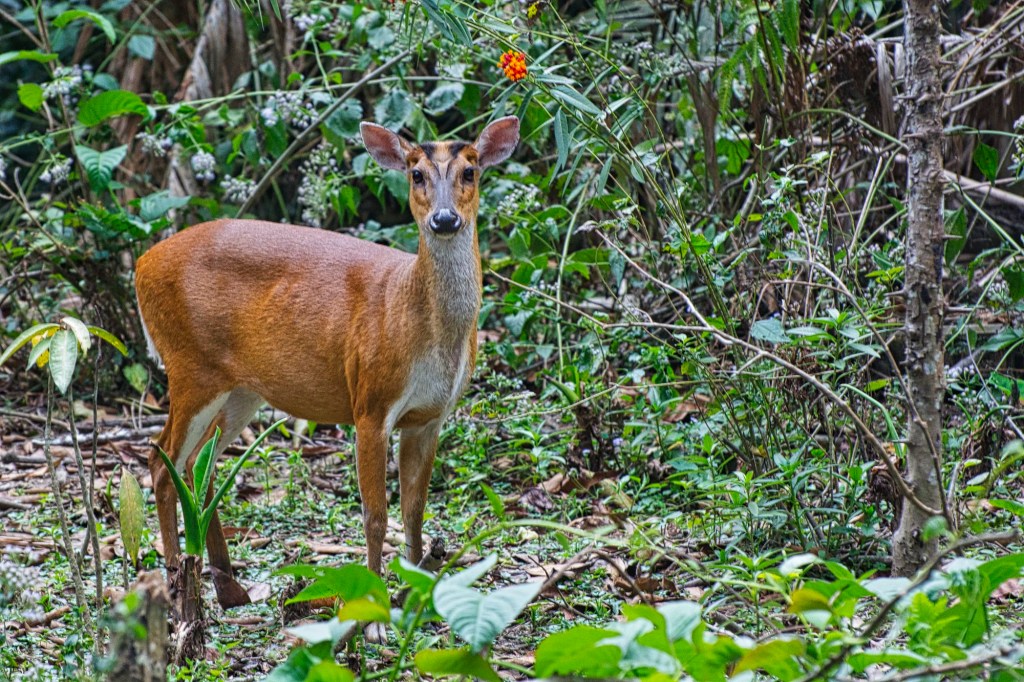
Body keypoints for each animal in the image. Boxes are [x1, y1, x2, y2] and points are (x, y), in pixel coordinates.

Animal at [135, 116, 520, 637]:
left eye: (471, 172)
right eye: (416, 173)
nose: (443, 220)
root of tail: (141, 264)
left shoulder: (430, 416)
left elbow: (415, 510)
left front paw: (419, 598)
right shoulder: (371, 401)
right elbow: (376, 514)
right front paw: (374, 621)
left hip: (240, 389)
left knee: (200, 464)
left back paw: (229, 590)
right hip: (190, 366)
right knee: (161, 462)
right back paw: (178, 593)